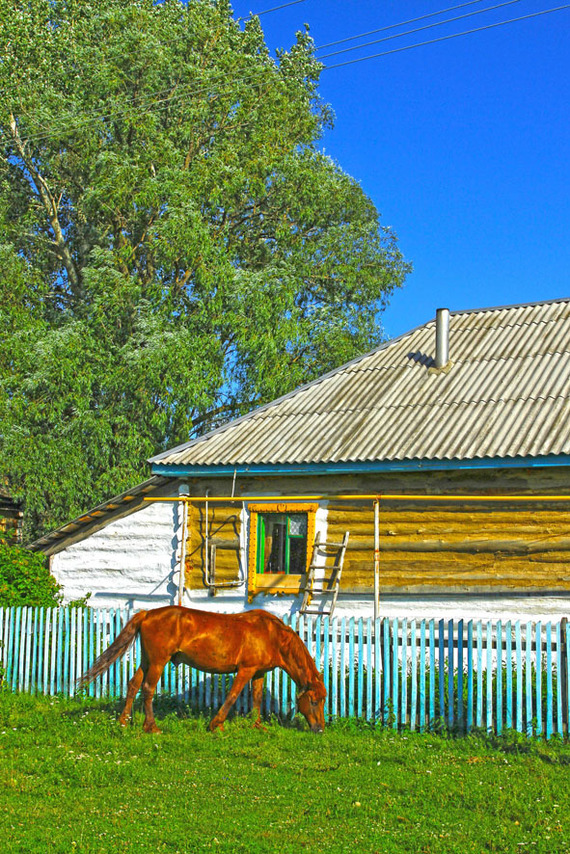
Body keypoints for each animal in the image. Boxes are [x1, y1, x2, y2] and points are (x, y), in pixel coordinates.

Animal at [76, 608, 324, 736]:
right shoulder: (245, 670)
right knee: (147, 689)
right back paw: (152, 726)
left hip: (147, 661)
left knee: (133, 685)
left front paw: (256, 725)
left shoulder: (258, 673)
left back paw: (123, 721)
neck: (271, 634)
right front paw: (216, 724)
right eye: (313, 701)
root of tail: (147, 614)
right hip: (158, 662)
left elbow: (256, 698)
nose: (320, 728)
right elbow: (233, 696)